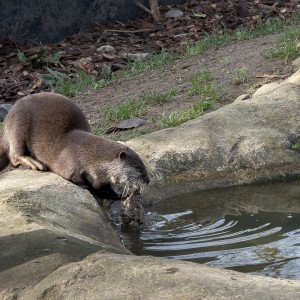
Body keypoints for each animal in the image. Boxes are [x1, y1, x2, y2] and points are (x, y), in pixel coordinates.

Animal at [0, 92, 150, 199]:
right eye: (138, 169)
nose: (148, 181)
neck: (90, 157)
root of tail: (7, 120)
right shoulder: (70, 164)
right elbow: (76, 179)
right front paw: (85, 187)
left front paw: (117, 195)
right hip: (18, 124)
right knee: (14, 155)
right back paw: (36, 164)